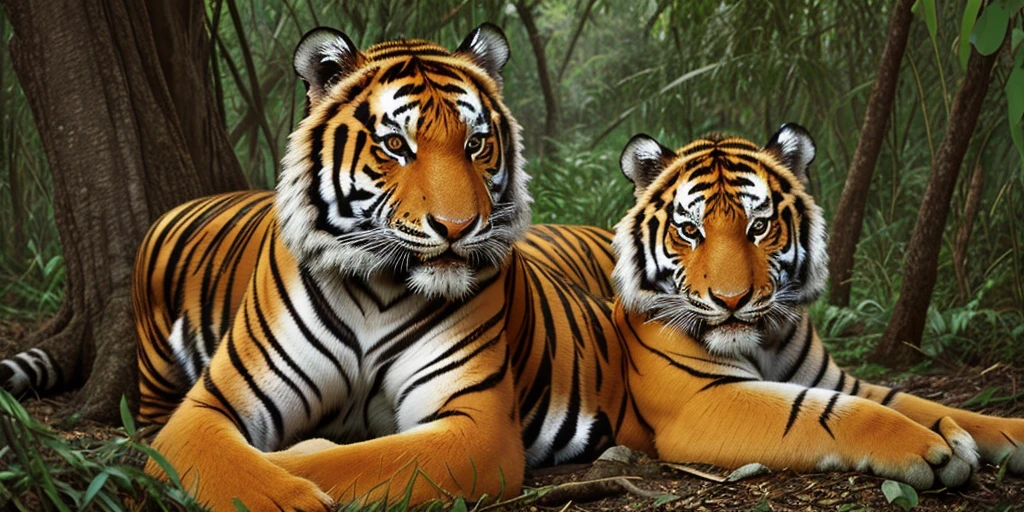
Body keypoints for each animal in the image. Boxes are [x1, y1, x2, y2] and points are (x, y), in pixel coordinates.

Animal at [607, 124, 1024, 489]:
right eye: (690, 231)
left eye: (759, 227)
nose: (731, 300)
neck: (763, 343)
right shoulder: (703, 400)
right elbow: (833, 411)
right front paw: (935, 447)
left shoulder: (838, 382)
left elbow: (923, 405)